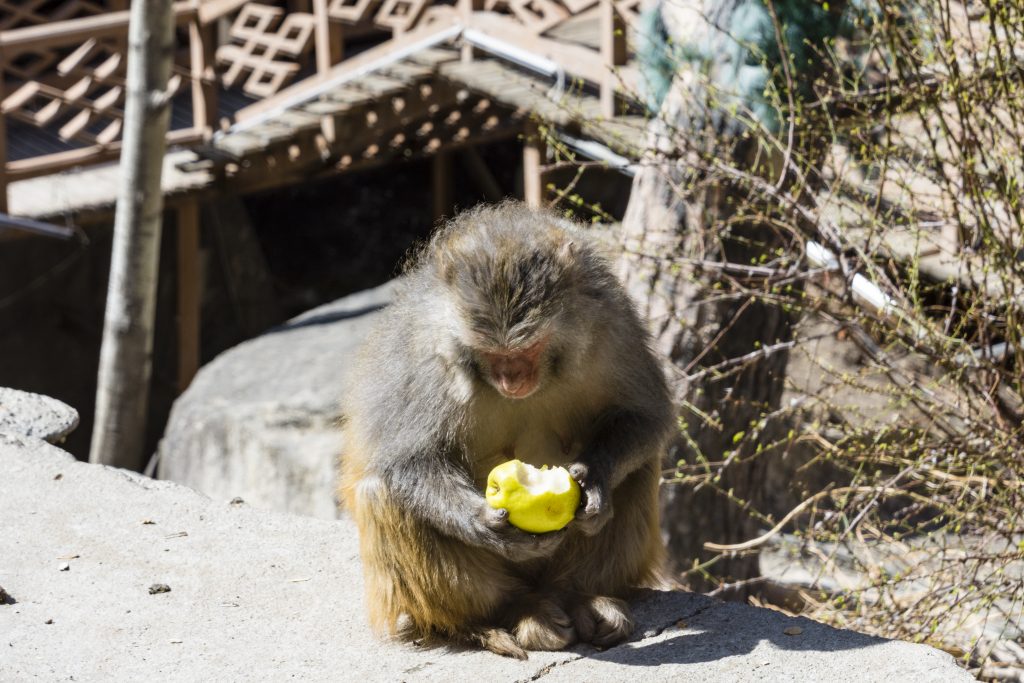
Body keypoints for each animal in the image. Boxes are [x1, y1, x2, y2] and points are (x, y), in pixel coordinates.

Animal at [344, 200, 675, 659]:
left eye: (529, 348)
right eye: (491, 353)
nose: (511, 380)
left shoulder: (613, 326)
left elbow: (645, 416)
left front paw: (595, 480)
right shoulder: (422, 354)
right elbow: (403, 460)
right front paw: (484, 524)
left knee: (640, 468)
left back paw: (580, 597)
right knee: (381, 494)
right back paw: (504, 615)